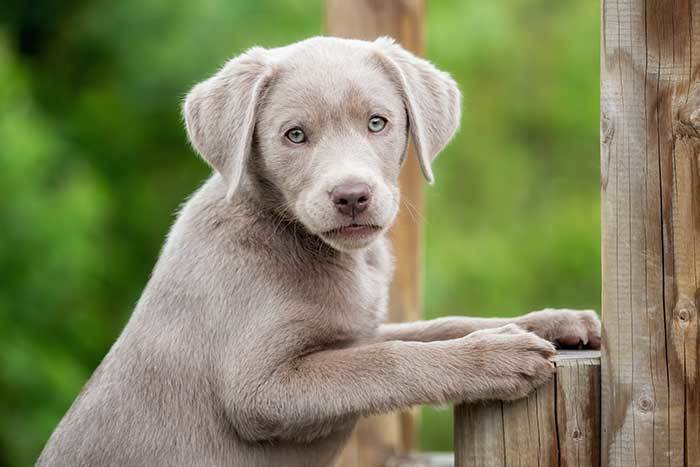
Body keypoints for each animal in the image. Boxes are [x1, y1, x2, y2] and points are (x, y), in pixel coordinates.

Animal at [35, 37, 600, 467]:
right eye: (295, 135)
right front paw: (499, 357)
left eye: (377, 123)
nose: (351, 196)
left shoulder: (357, 331)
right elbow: (389, 361)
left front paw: (555, 321)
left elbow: (440, 326)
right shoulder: (261, 390)